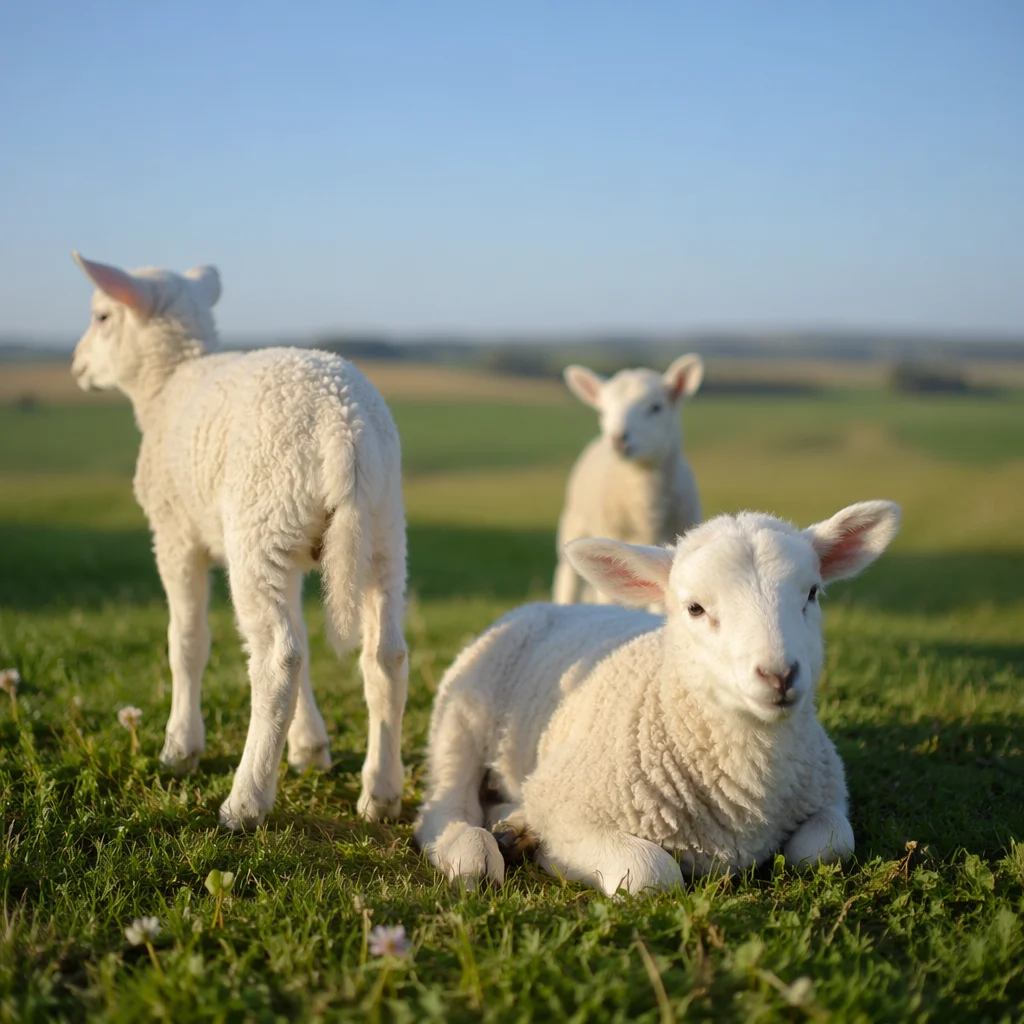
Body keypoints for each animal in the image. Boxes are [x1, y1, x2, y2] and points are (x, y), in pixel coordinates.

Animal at [70, 253, 408, 830]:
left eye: (101, 316)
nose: (75, 366)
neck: (167, 383)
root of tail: (343, 426)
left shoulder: (174, 531)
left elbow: (186, 640)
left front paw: (180, 747)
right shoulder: (298, 558)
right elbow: (310, 645)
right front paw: (309, 747)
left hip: (261, 526)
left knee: (277, 658)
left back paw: (245, 802)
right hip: (377, 532)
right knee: (384, 655)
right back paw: (380, 795)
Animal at [415, 500, 900, 896]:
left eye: (812, 593)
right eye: (695, 608)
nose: (779, 675)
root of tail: (544, 606)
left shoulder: (828, 795)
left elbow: (828, 846)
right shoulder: (564, 802)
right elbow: (653, 873)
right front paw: (549, 853)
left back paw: (513, 828)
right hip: (462, 716)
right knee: (444, 805)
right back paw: (472, 851)